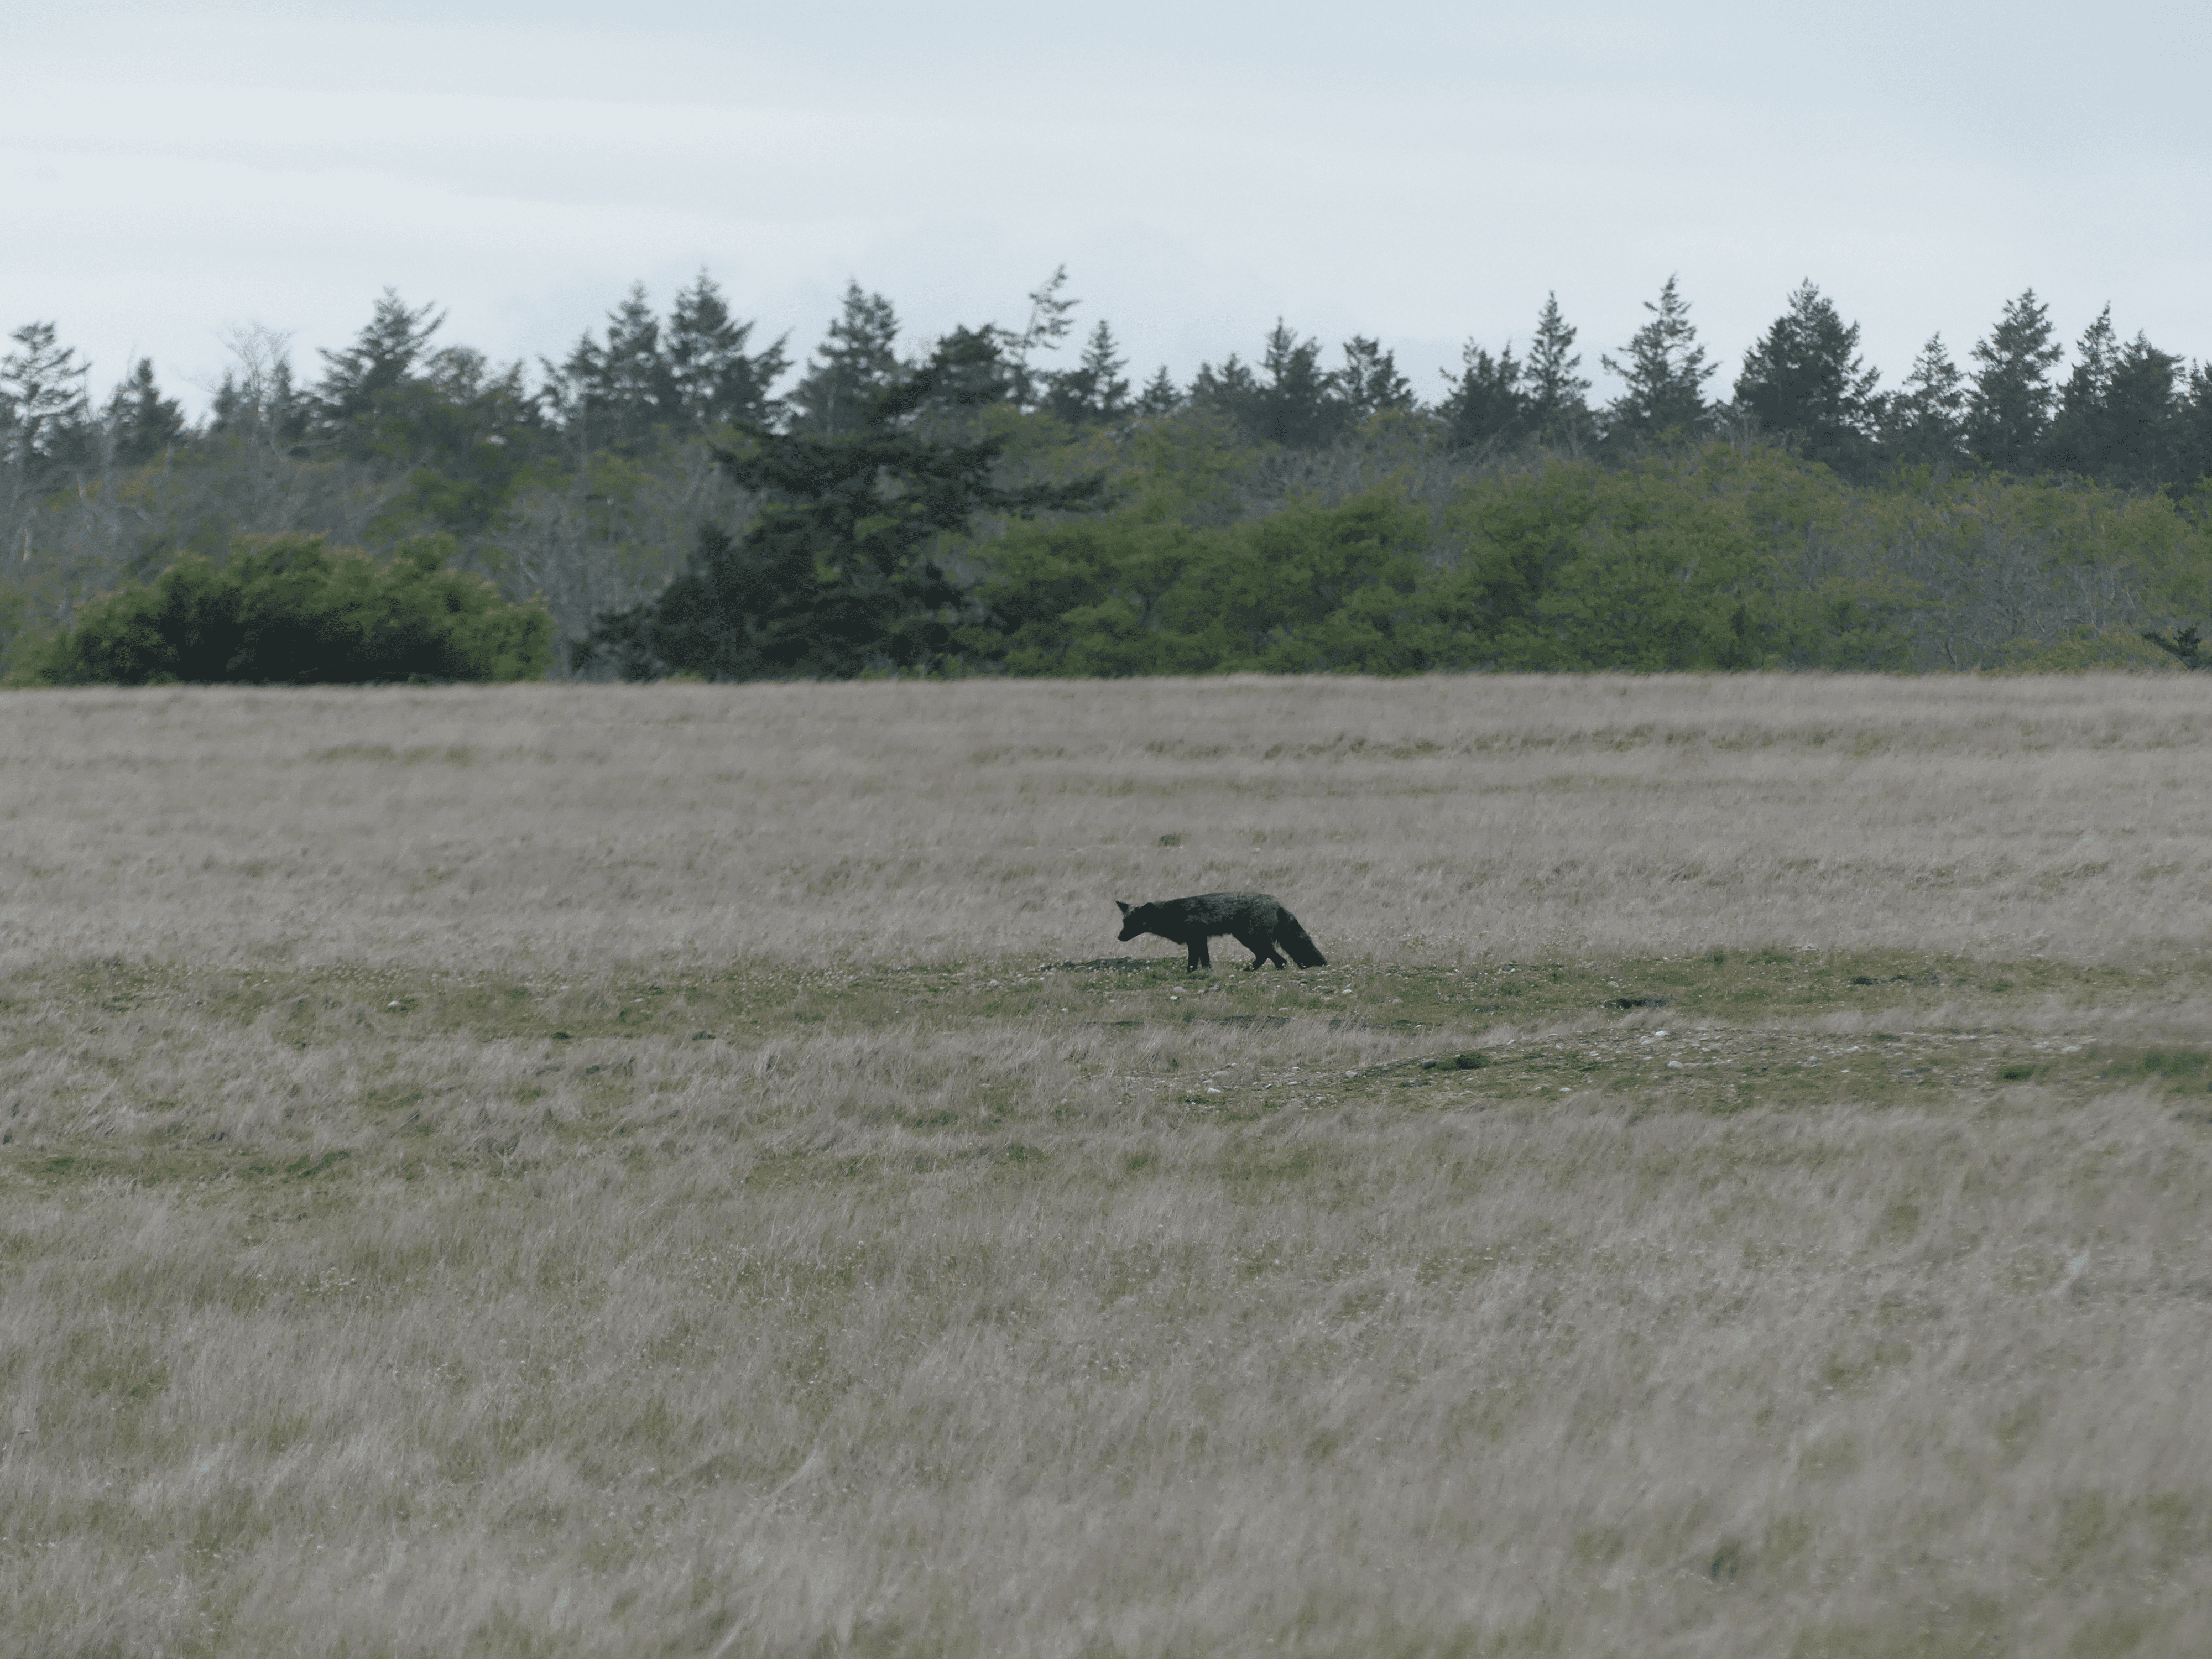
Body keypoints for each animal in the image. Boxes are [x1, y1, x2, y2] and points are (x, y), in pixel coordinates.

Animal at [1115, 891, 1328, 973]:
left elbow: (1194, 962)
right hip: (1247, 939)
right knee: (1270, 958)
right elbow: (1203, 962)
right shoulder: (1199, 941)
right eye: (1125, 923)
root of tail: (1276, 902)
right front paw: (1203, 973)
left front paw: (1193, 973)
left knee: (1279, 959)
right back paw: (1250, 970)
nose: (1119, 937)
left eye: (1132, 925)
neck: (1172, 914)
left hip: (1251, 939)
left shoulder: (1196, 939)